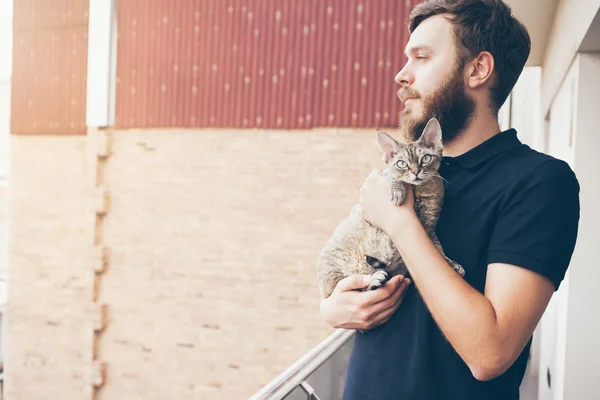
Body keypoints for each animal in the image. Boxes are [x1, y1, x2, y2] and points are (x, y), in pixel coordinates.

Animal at [318, 117, 464, 298]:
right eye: (401, 163)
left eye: (426, 158)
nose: (415, 172)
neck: (420, 190)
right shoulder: (384, 174)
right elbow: (394, 177)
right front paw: (398, 191)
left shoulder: (428, 227)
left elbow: (438, 250)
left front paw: (451, 264)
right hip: (338, 272)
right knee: (357, 288)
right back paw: (375, 279)